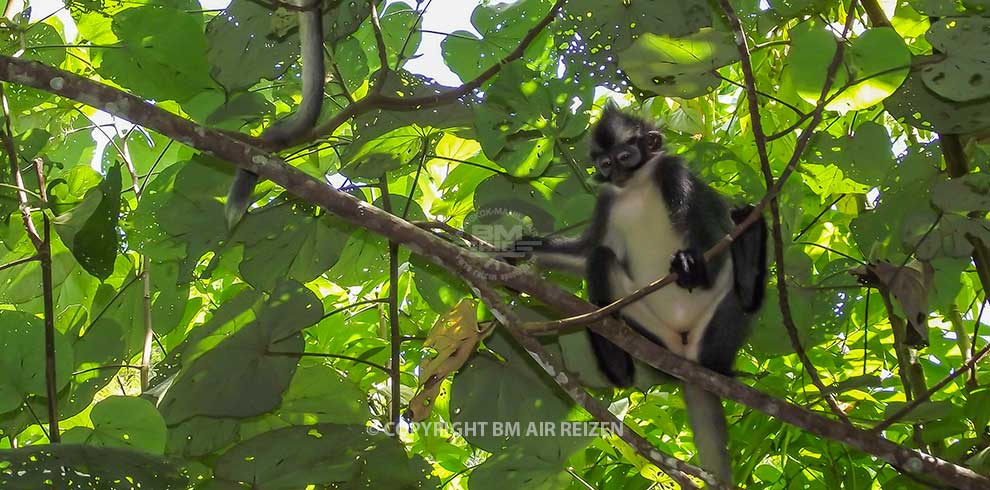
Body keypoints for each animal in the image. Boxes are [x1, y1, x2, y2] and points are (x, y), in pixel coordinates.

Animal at [508, 104, 772, 482]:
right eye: (605, 164)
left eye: (625, 157)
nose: (616, 173)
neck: (636, 187)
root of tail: (686, 356)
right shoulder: (607, 200)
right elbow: (589, 253)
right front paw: (520, 249)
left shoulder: (674, 174)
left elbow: (710, 232)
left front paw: (692, 263)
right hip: (652, 334)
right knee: (602, 259)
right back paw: (616, 362)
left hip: (714, 327)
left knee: (741, 297)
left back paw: (747, 264)